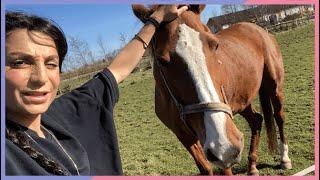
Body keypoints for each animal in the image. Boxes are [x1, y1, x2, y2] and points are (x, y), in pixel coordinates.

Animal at [132, 4, 292, 175]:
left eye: (215, 45)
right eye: (161, 60)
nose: (223, 145)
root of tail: (257, 29)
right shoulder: (184, 136)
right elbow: (205, 168)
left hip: (274, 88)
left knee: (279, 117)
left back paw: (284, 158)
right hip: (241, 100)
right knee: (256, 120)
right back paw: (252, 166)